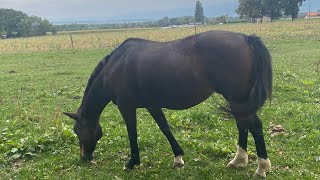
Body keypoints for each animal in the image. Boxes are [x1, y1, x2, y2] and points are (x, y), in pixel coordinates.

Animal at [64, 30, 272, 178]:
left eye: (77, 130)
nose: (84, 157)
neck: (114, 69)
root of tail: (245, 38)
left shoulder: (127, 107)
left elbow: (132, 134)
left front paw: (132, 162)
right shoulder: (152, 105)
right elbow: (165, 128)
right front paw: (178, 158)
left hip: (236, 98)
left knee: (254, 125)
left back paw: (261, 168)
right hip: (237, 100)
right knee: (243, 124)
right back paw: (238, 161)